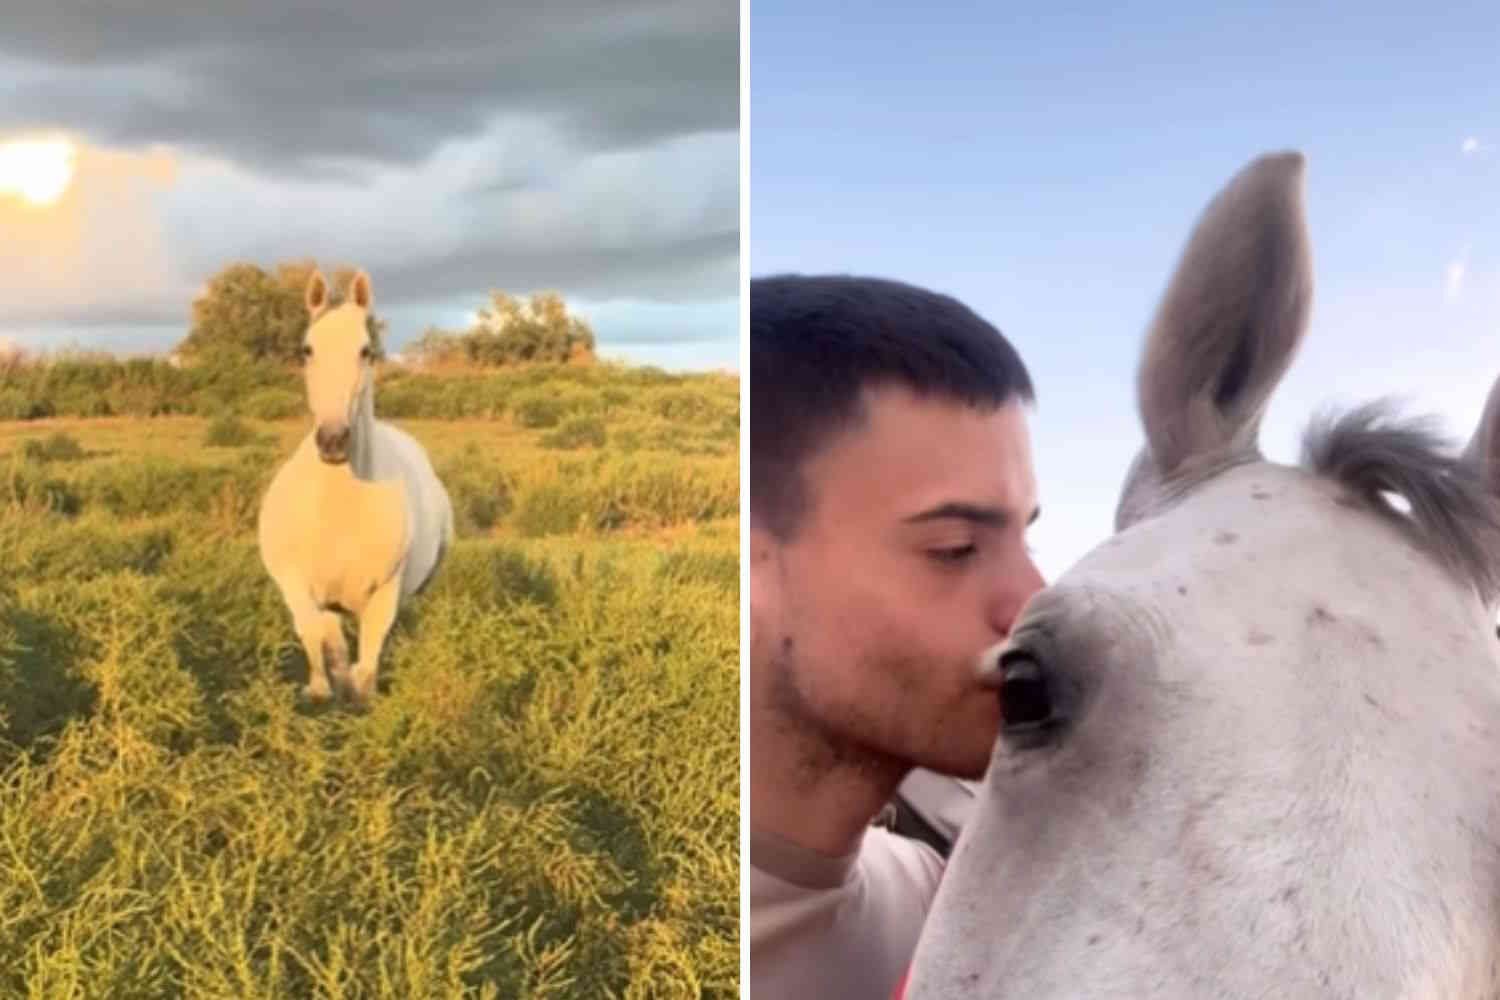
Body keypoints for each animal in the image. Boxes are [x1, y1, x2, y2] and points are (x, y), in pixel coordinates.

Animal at [257, 268, 455, 707]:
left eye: (366, 351)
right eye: (307, 349)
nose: (333, 440)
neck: (339, 510)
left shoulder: (384, 595)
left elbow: (365, 669)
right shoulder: (303, 591)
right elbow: (325, 653)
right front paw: (321, 692)